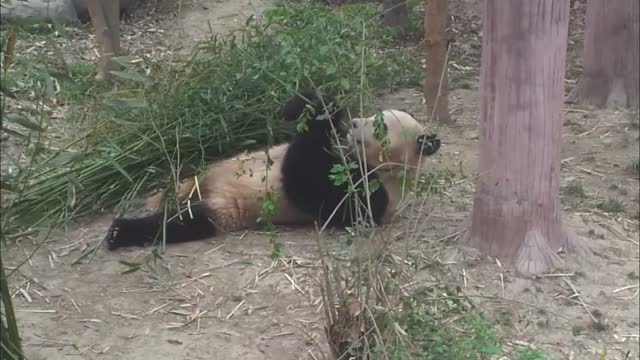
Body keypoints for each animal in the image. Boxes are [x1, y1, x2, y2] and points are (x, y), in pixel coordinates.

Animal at [105, 91, 440, 249]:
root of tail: (203, 188)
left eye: (379, 126)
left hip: (223, 209)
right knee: (184, 174)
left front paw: (325, 114)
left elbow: (307, 184)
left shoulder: (374, 194)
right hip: (202, 171)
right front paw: (309, 105)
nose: (355, 123)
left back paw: (120, 231)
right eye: (371, 117)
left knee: (180, 223)